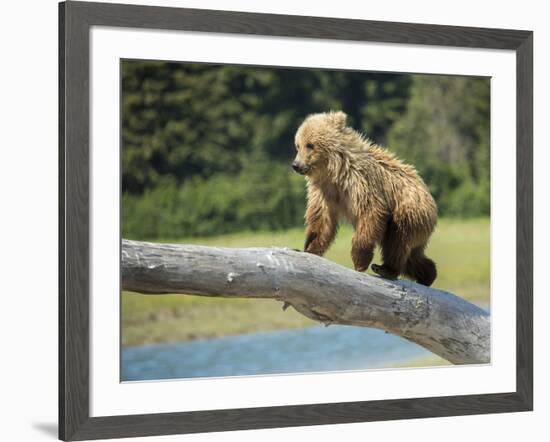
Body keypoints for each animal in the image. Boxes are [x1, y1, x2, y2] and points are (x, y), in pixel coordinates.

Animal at [294, 109, 440, 284]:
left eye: (310, 145)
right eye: (297, 145)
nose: (296, 165)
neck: (334, 171)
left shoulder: (360, 182)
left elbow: (371, 212)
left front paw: (360, 262)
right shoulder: (324, 192)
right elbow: (322, 219)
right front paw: (309, 248)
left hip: (409, 210)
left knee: (398, 239)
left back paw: (386, 269)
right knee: (413, 255)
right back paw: (428, 274)